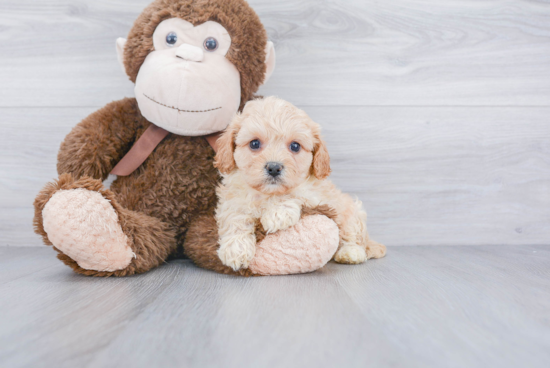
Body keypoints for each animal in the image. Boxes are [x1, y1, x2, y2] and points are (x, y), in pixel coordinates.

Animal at [213, 96, 386, 272]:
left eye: (295, 146)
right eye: (254, 143)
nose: (274, 167)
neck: (266, 193)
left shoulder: (315, 194)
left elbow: (294, 193)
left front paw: (277, 213)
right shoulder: (233, 199)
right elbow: (235, 216)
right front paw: (235, 248)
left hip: (351, 212)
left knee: (353, 236)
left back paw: (351, 252)